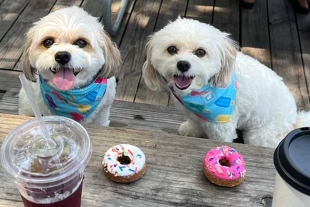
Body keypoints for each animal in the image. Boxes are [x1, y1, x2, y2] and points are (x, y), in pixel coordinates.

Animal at [143, 17, 310, 147]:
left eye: (200, 52)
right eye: (171, 49)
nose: (183, 64)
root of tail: (295, 119)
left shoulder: (222, 127)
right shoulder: (194, 114)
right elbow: (194, 123)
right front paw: (189, 130)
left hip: (259, 136)